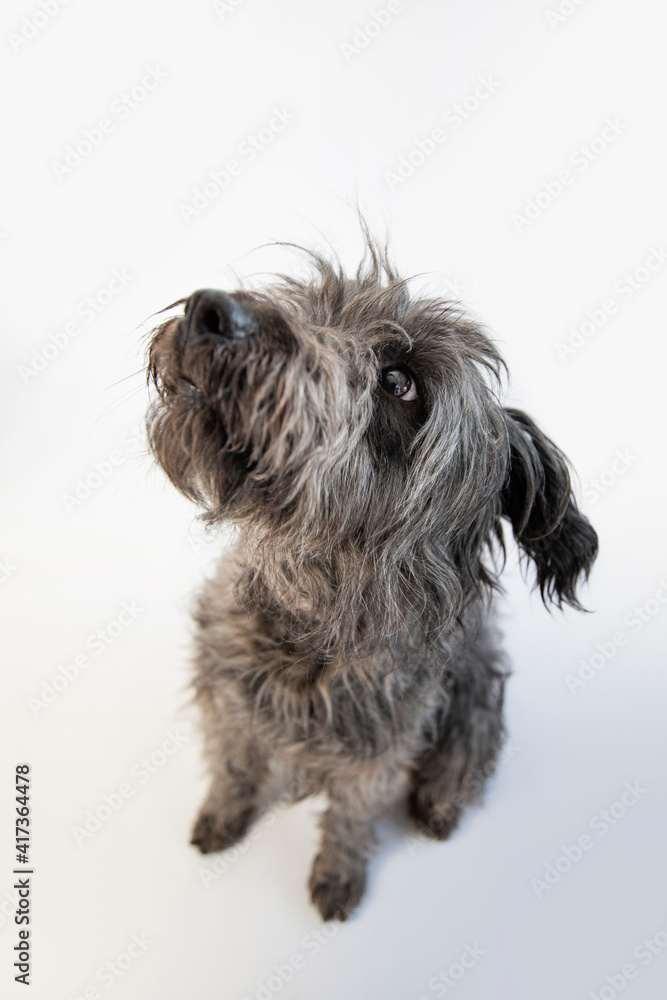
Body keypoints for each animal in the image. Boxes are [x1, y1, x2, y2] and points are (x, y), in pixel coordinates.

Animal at [147, 234, 600, 920]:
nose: (211, 311)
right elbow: (233, 770)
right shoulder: (226, 704)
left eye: (399, 381)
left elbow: (350, 821)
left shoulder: (377, 759)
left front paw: (338, 876)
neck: (312, 624)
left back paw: (439, 808)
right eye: (313, 302)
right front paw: (222, 818)